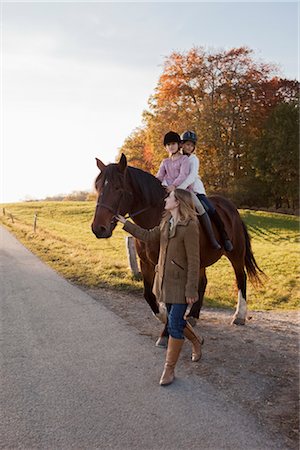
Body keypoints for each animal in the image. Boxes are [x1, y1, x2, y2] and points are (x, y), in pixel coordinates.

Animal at [91, 153, 262, 342]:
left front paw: (167, 332)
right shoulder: (146, 263)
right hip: (199, 259)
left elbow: (168, 299)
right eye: (98, 187)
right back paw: (193, 316)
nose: (98, 228)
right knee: (203, 282)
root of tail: (231, 207)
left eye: (117, 188)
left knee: (241, 278)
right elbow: (149, 295)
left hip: (236, 254)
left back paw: (239, 316)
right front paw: (166, 319)